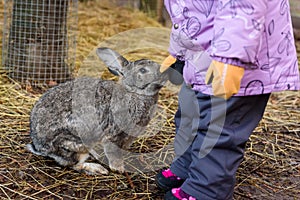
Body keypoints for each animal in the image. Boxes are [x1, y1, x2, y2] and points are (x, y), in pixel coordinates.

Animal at [26, 47, 168, 175]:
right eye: (143, 70)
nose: (164, 74)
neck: (134, 93)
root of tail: (40, 146)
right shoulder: (114, 134)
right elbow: (113, 153)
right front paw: (119, 169)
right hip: (76, 141)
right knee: (74, 164)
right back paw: (98, 168)